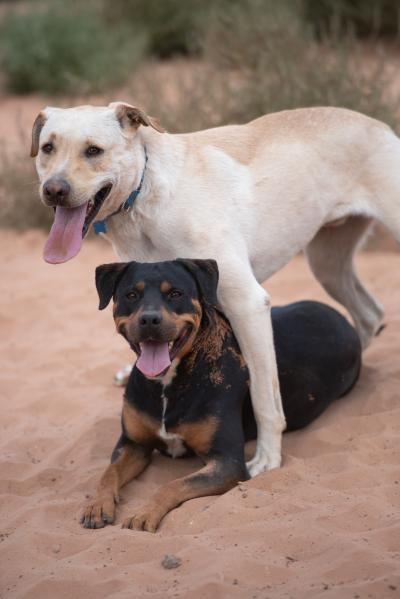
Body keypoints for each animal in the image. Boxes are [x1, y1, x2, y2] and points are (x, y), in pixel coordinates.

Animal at [30, 104, 396, 478]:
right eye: (47, 148)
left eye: (93, 150)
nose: (54, 190)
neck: (145, 194)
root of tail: (375, 123)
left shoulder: (247, 304)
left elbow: (264, 398)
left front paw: (268, 459)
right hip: (327, 263)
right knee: (369, 315)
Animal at [81, 260, 362, 532]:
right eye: (131, 295)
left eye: (175, 293)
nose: (149, 320)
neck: (167, 381)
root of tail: (341, 317)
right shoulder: (133, 443)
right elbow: (108, 472)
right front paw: (97, 505)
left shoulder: (228, 462)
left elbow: (174, 484)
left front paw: (144, 512)